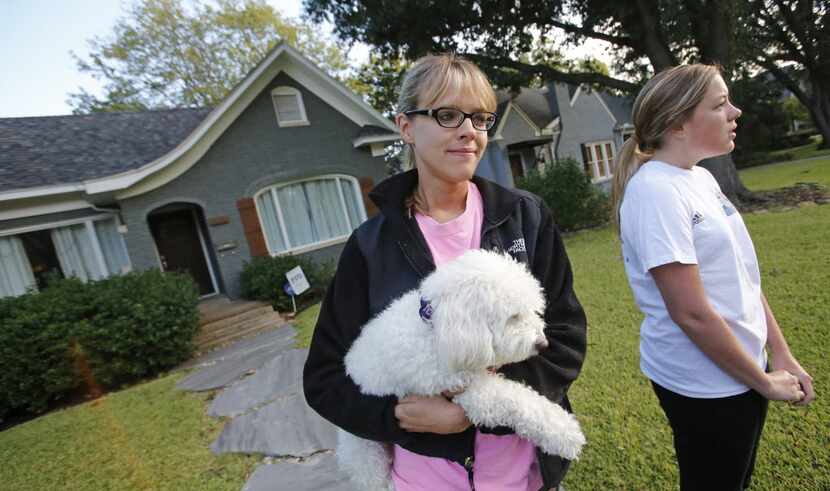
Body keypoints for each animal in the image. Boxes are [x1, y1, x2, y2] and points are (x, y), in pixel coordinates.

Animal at [338, 252, 584, 490]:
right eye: (513, 317)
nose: (543, 344)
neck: (437, 327)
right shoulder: (466, 389)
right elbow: (517, 401)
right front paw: (566, 434)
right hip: (365, 453)